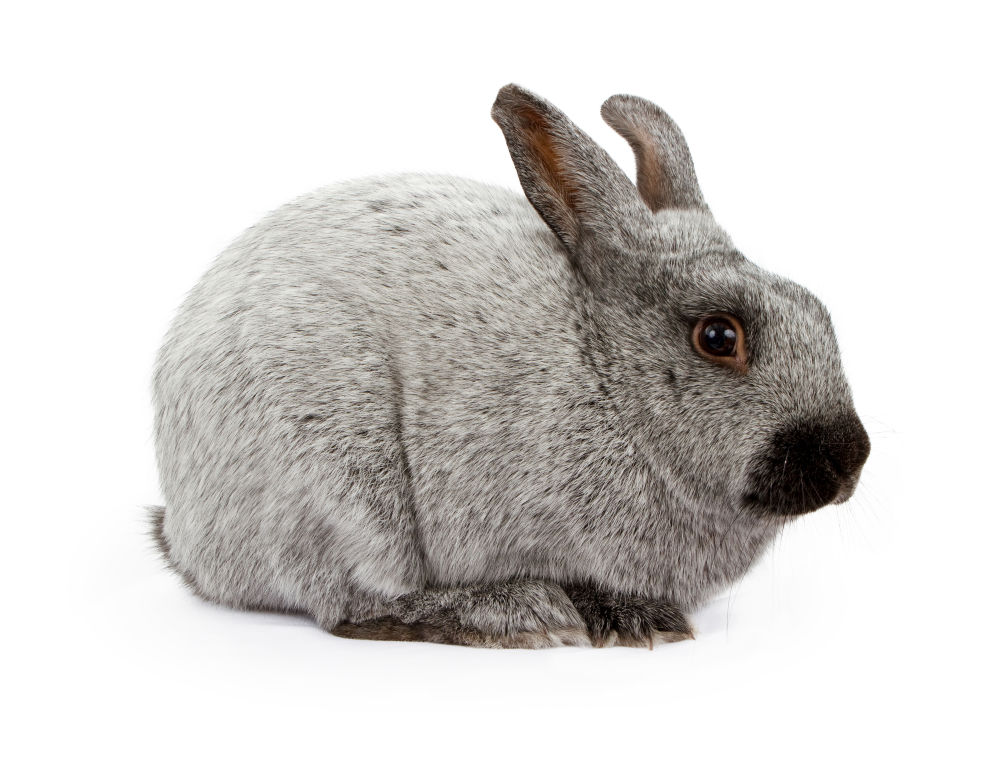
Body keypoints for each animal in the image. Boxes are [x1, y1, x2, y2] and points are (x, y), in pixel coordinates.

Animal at [152, 85, 872, 648]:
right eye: (719, 336)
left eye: (818, 309)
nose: (848, 457)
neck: (605, 375)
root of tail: (186, 533)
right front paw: (622, 617)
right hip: (341, 494)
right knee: (353, 603)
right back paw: (513, 613)